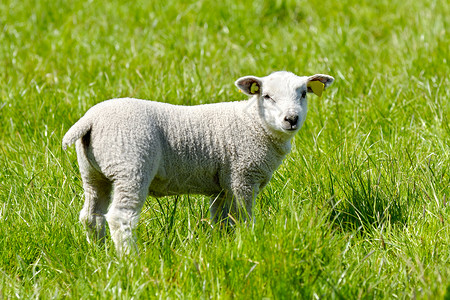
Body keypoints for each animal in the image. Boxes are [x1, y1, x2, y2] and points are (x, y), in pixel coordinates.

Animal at [61, 71, 332, 254]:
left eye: (304, 93)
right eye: (266, 96)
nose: (291, 119)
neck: (254, 124)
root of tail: (90, 120)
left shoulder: (224, 184)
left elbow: (223, 220)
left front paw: (223, 245)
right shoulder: (243, 176)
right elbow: (244, 217)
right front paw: (249, 243)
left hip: (93, 173)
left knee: (91, 216)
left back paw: (100, 253)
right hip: (130, 165)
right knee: (120, 217)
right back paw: (131, 260)